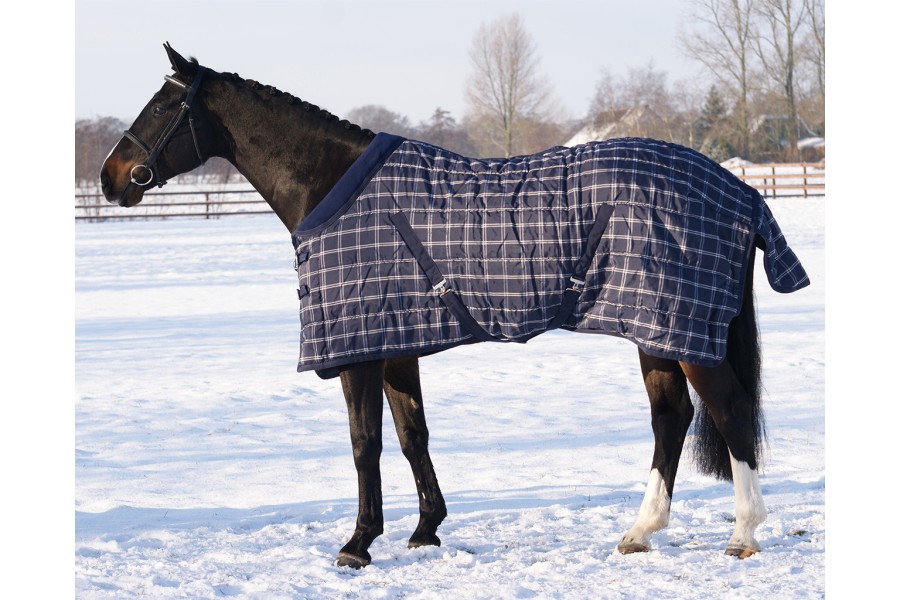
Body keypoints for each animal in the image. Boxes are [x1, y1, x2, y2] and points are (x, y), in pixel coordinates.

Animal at [99, 43, 808, 568]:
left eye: (163, 106)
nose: (110, 176)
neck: (332, 187)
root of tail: (739, 191)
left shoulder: (360, 346)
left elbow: (364, 442)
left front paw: (358, 544)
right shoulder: (396, 342)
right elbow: (412, 434)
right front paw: (425, 530)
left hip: (681, 330)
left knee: (729, 411)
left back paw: (743, 535)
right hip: (653, 328)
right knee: (671, 418)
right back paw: (640, 532)